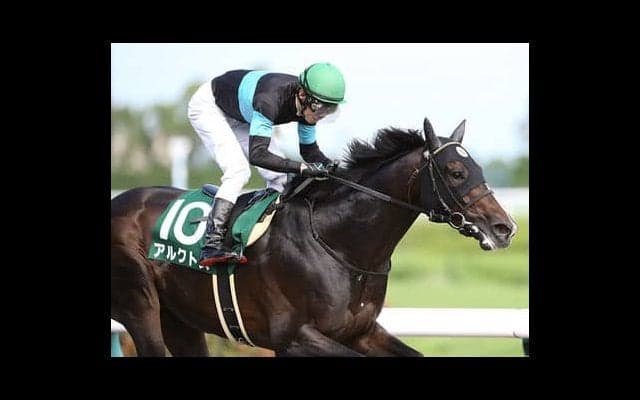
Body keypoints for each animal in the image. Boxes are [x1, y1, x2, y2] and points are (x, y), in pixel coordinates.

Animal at [110, 117, 517, 357]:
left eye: (479, 168)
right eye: (455, 172)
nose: (505, 227)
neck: (340, 246)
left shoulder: (361, 331)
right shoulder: (293, 337)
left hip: (182, 320)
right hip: (140, 306)